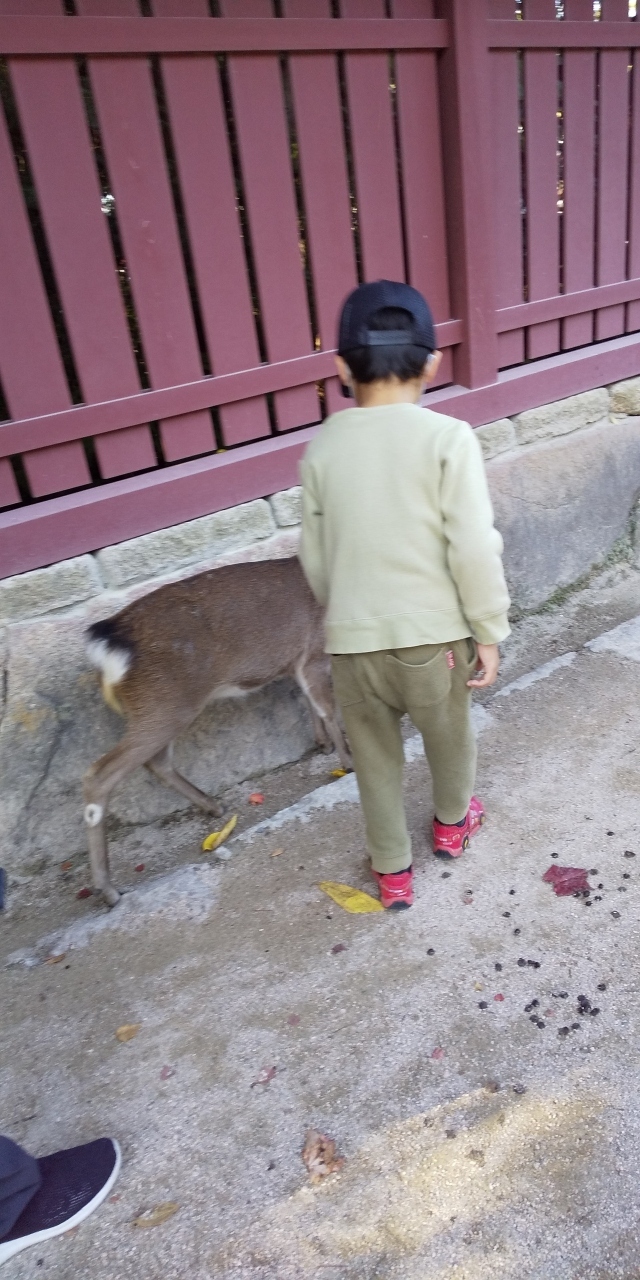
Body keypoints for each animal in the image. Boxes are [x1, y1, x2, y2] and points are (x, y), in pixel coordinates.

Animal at [83, 556, 351, 906]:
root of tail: (108, 643)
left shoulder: (296, 660)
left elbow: (308, 700)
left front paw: (324, 745)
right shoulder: (316, 650)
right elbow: (327, 708)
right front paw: (348, 762)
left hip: (158, 708)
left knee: (155, 762)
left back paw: (213, 806)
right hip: (164, 703)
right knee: (100, 774)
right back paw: (110, 890)